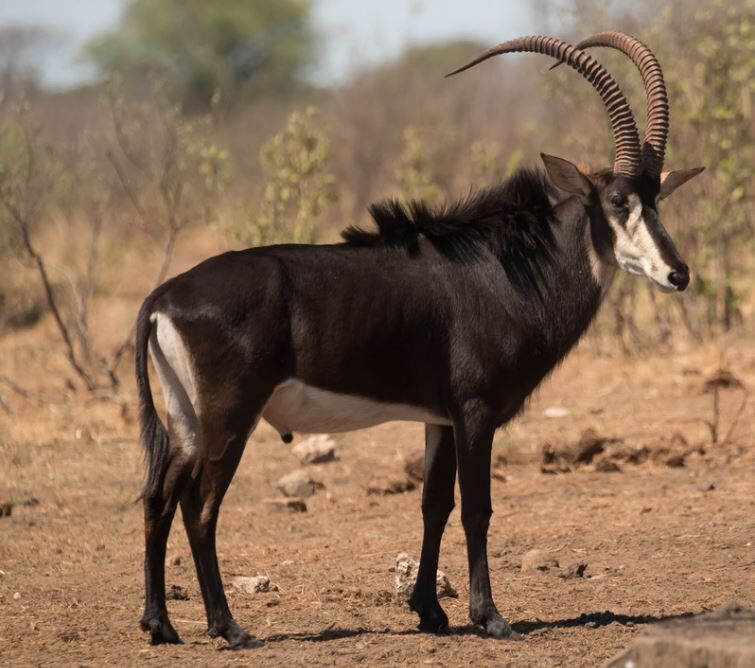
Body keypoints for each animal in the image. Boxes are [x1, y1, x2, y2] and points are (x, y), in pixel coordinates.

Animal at [134, 32, 704, 648]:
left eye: (657, 199)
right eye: (618, 201)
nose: (677, 274)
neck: (506, 267)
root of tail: (163, 296)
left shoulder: (440, 418)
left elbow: (435, 504)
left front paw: (430, 611)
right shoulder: (475, 411)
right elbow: (477, 508)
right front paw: (490, 616)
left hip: (187, 421)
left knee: (160, 496)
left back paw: (160, 625)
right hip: (230, 418)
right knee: (200, 506)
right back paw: (228, 627)